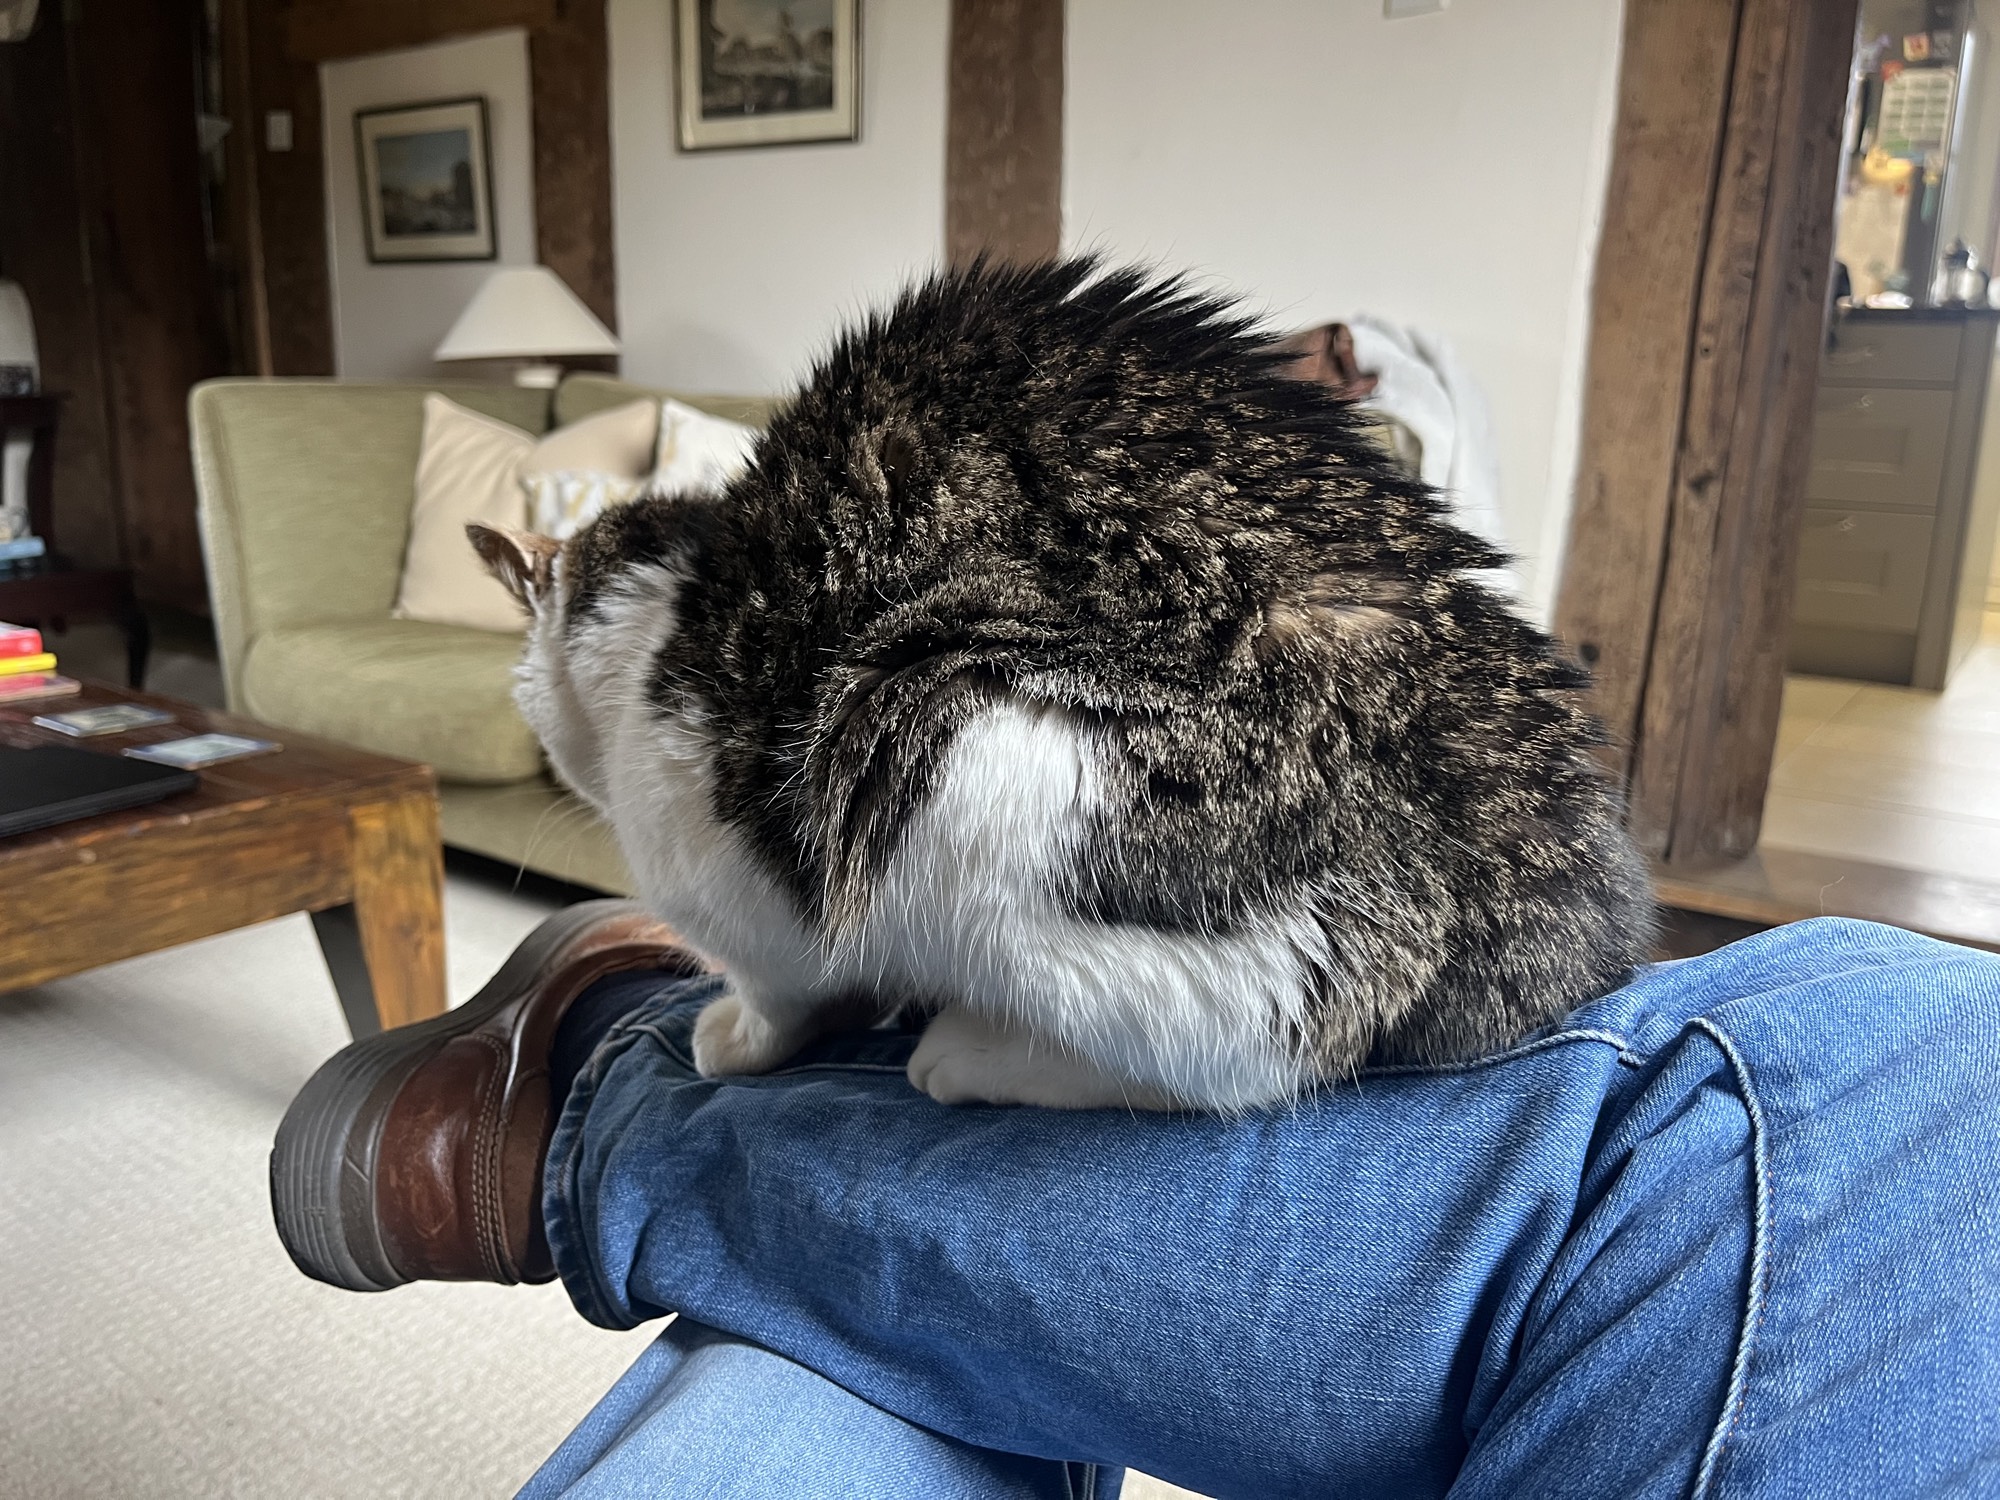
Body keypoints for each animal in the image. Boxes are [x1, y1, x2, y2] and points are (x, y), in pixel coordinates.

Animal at [471, 258, 1656, 1113]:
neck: (661, 591)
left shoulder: (743, 893)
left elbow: (778, 991)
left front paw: (733, 1036)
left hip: (982, 764)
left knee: (1235, 1070)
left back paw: (971, 1055)